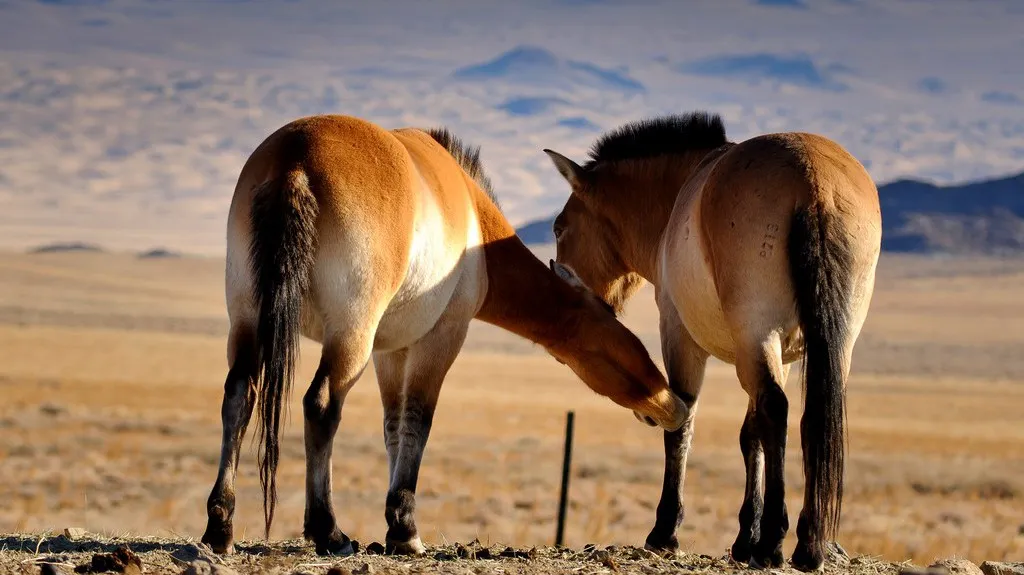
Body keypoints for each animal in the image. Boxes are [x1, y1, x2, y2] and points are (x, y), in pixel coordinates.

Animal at [197, 112, 688, 556]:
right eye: (619, 348)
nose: (675, 407)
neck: (476, 229)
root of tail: (296, 160)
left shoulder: (391, 350)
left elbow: (394, 426)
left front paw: (393, 524)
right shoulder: (442, 338)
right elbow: (419, 419)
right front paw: (405, 530)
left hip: (248, 319)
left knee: (239, 397)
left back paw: (220, 527)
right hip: (350, 334)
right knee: (320, 406)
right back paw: (328, 531)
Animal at [540, 112, 884, 568]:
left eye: (559, 227)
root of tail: (815, 182)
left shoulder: (681, 336)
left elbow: (683, 420)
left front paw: (666, 531)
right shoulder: (781, 355)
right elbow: (750, 435)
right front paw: (743, 538)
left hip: (756, 330)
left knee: (776, 409)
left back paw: (775, 542)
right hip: (830, 342)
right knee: (810, 415)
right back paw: (808, 545)